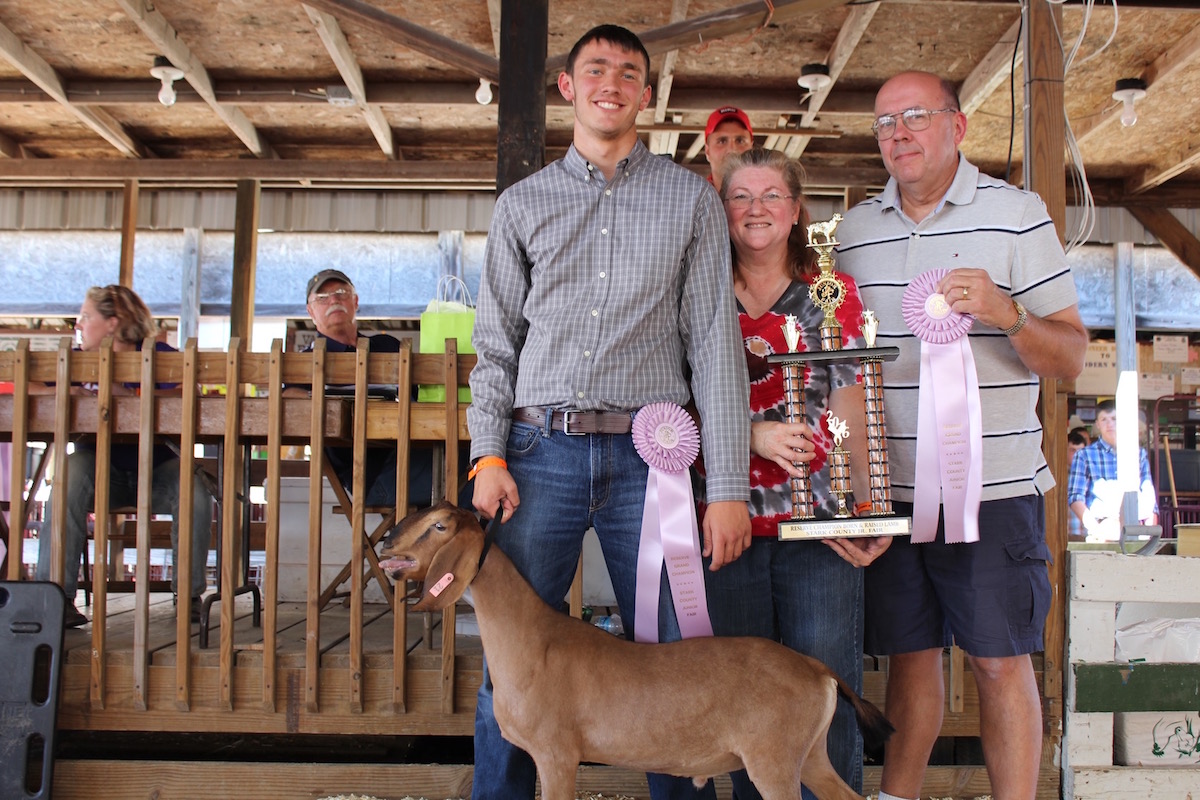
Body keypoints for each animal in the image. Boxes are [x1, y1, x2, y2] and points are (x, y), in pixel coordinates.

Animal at [378, 502, 893, 800]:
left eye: (438, 526)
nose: (385, 543)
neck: (534, 640)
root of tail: (816, 667)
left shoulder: (557, 755)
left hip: (774, 761)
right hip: (810, 756)